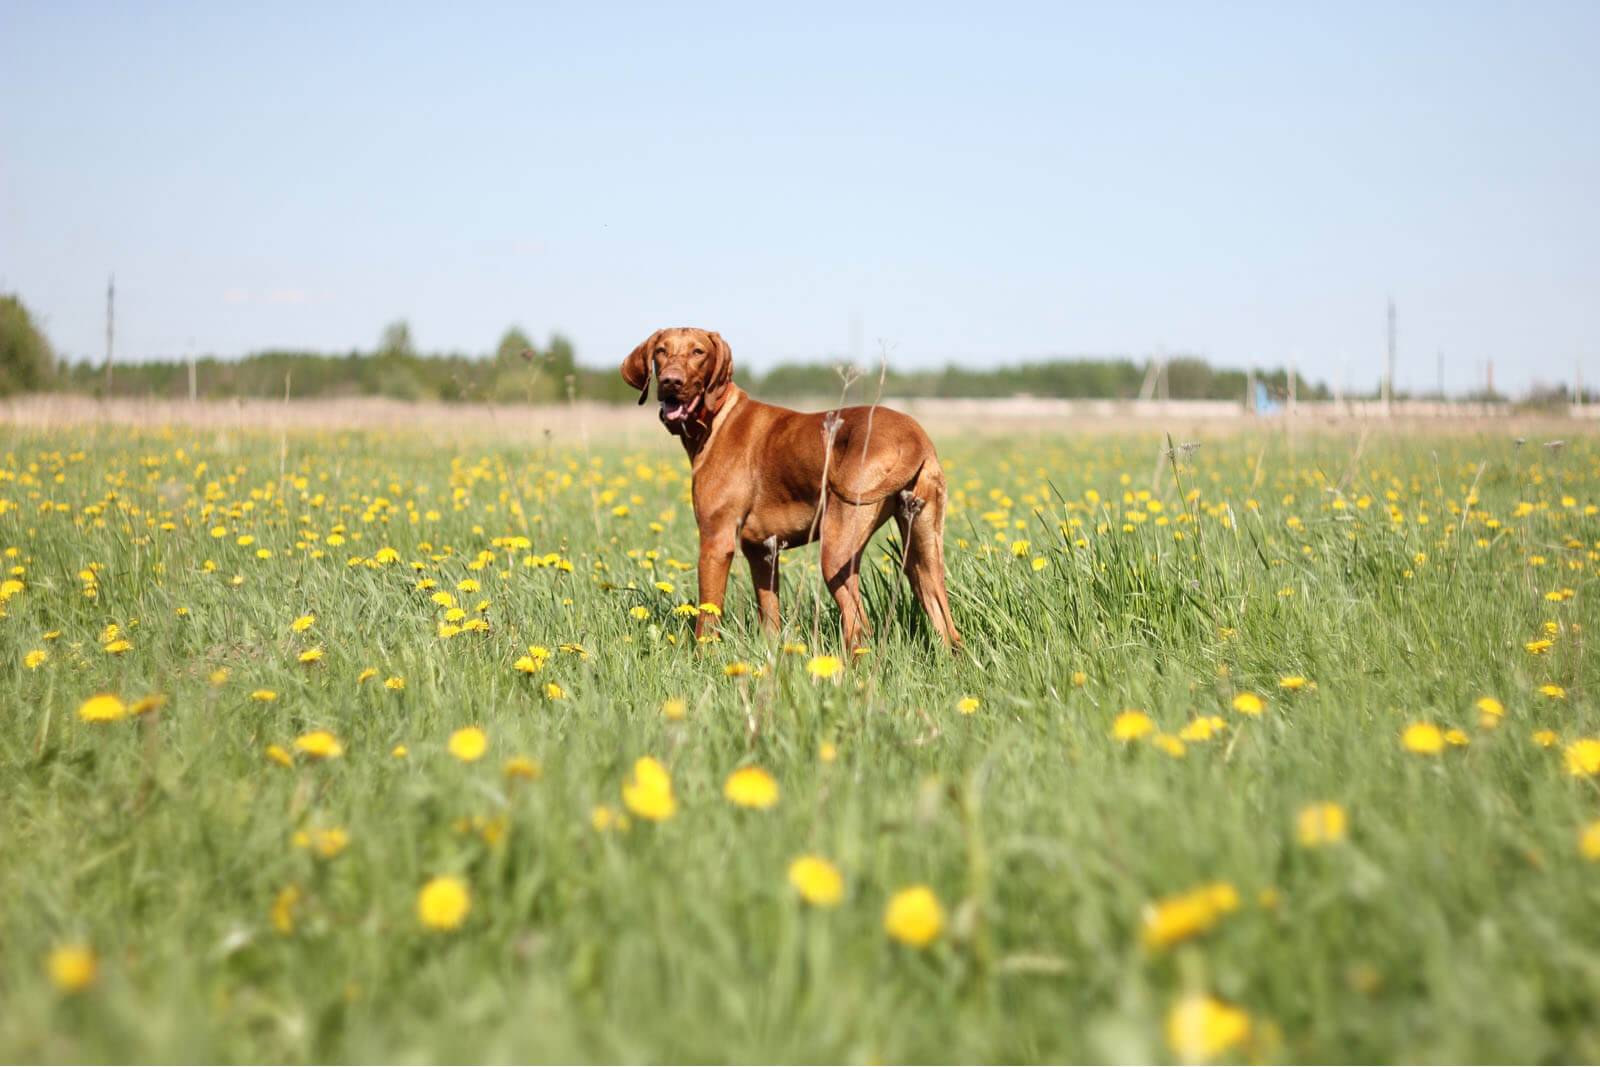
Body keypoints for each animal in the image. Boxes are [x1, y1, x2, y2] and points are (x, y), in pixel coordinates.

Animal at [617, 327, 953, 652]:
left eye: (698, 352)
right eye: (661, 351)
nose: (671, 381)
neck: (717, 418)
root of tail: (913, 436)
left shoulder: (716, 542)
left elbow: (707, 620)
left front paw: (702, 660)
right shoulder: (762, 552)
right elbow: (770, 620)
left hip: (836, 553)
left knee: (858, 627)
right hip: (922, 553)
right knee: (945, 621)